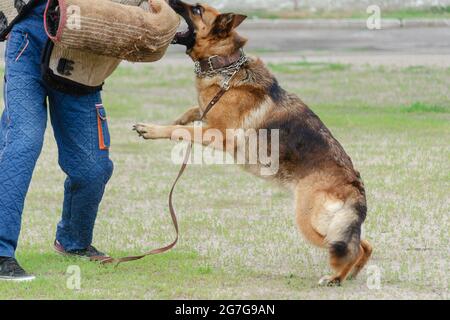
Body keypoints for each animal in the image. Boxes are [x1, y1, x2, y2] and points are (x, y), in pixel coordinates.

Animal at [134, 0, 372, 284]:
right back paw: (352, 274)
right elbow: (192, 113)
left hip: (312, 222)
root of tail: (355, 185)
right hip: (334, 225)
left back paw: (336, 278)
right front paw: (177, 118)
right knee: (363, 245)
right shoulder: (207, 115)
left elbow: (184, 130)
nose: (170, 2)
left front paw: (152, 129)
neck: (225, 66)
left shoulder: (219, 134)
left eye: (197, 10)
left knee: (352, 248)